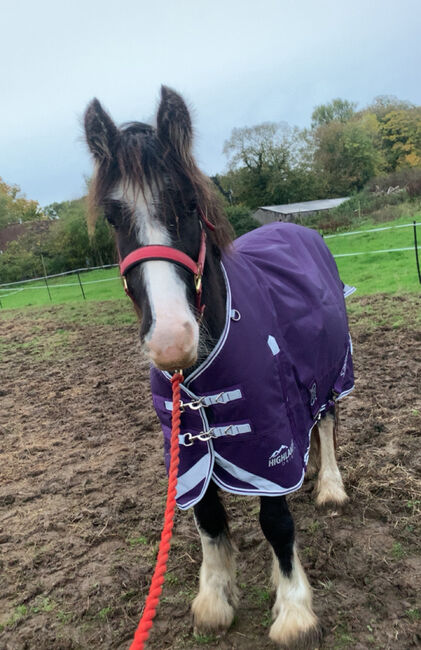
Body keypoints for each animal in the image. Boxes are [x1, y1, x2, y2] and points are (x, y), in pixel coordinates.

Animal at [84, 86, 354, 649]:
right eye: (115, 217)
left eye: (189, 204)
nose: (172, 341)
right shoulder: (187, 444)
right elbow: (207, 515)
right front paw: (214, 599)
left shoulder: (268, 439)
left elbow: (276, 520)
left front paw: (294, 610)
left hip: (331, 370)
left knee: (327, 423)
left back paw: (330, 487)